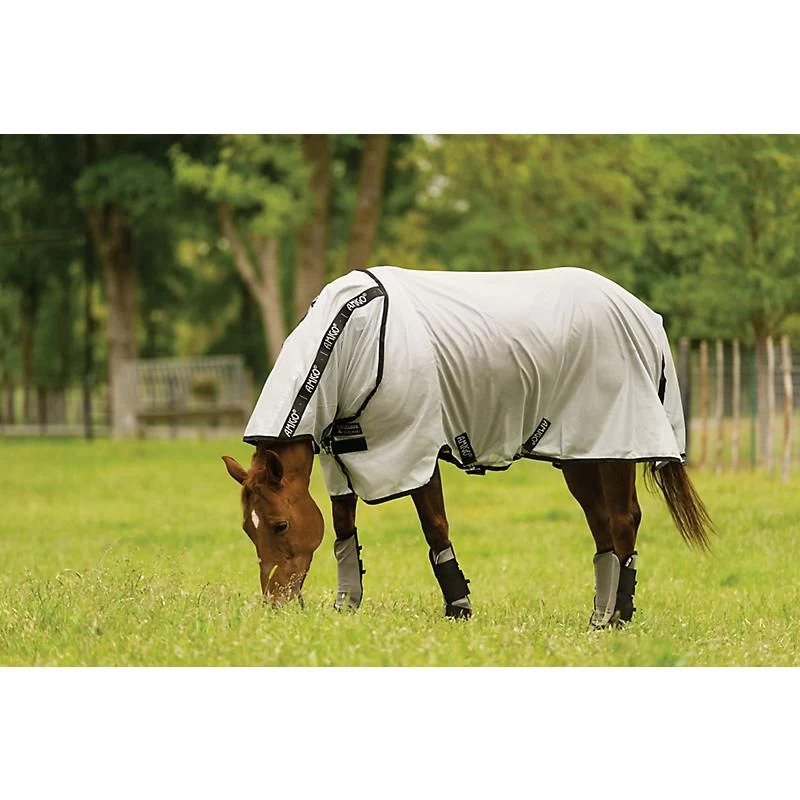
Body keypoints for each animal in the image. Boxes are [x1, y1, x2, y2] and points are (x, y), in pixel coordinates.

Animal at [222, 266, 713, 627]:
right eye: (247, 529)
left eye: (280, 525)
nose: (276, 604)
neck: (352, 339)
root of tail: (642, 315)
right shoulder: (340, 458)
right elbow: (344, 527)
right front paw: (347, 604)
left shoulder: (412, 448)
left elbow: (434, 526)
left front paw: (458, 608)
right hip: (581, 454)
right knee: (604, 525)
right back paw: (602, 614)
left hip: (615, 445)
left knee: (624, 520)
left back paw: (615, 619)